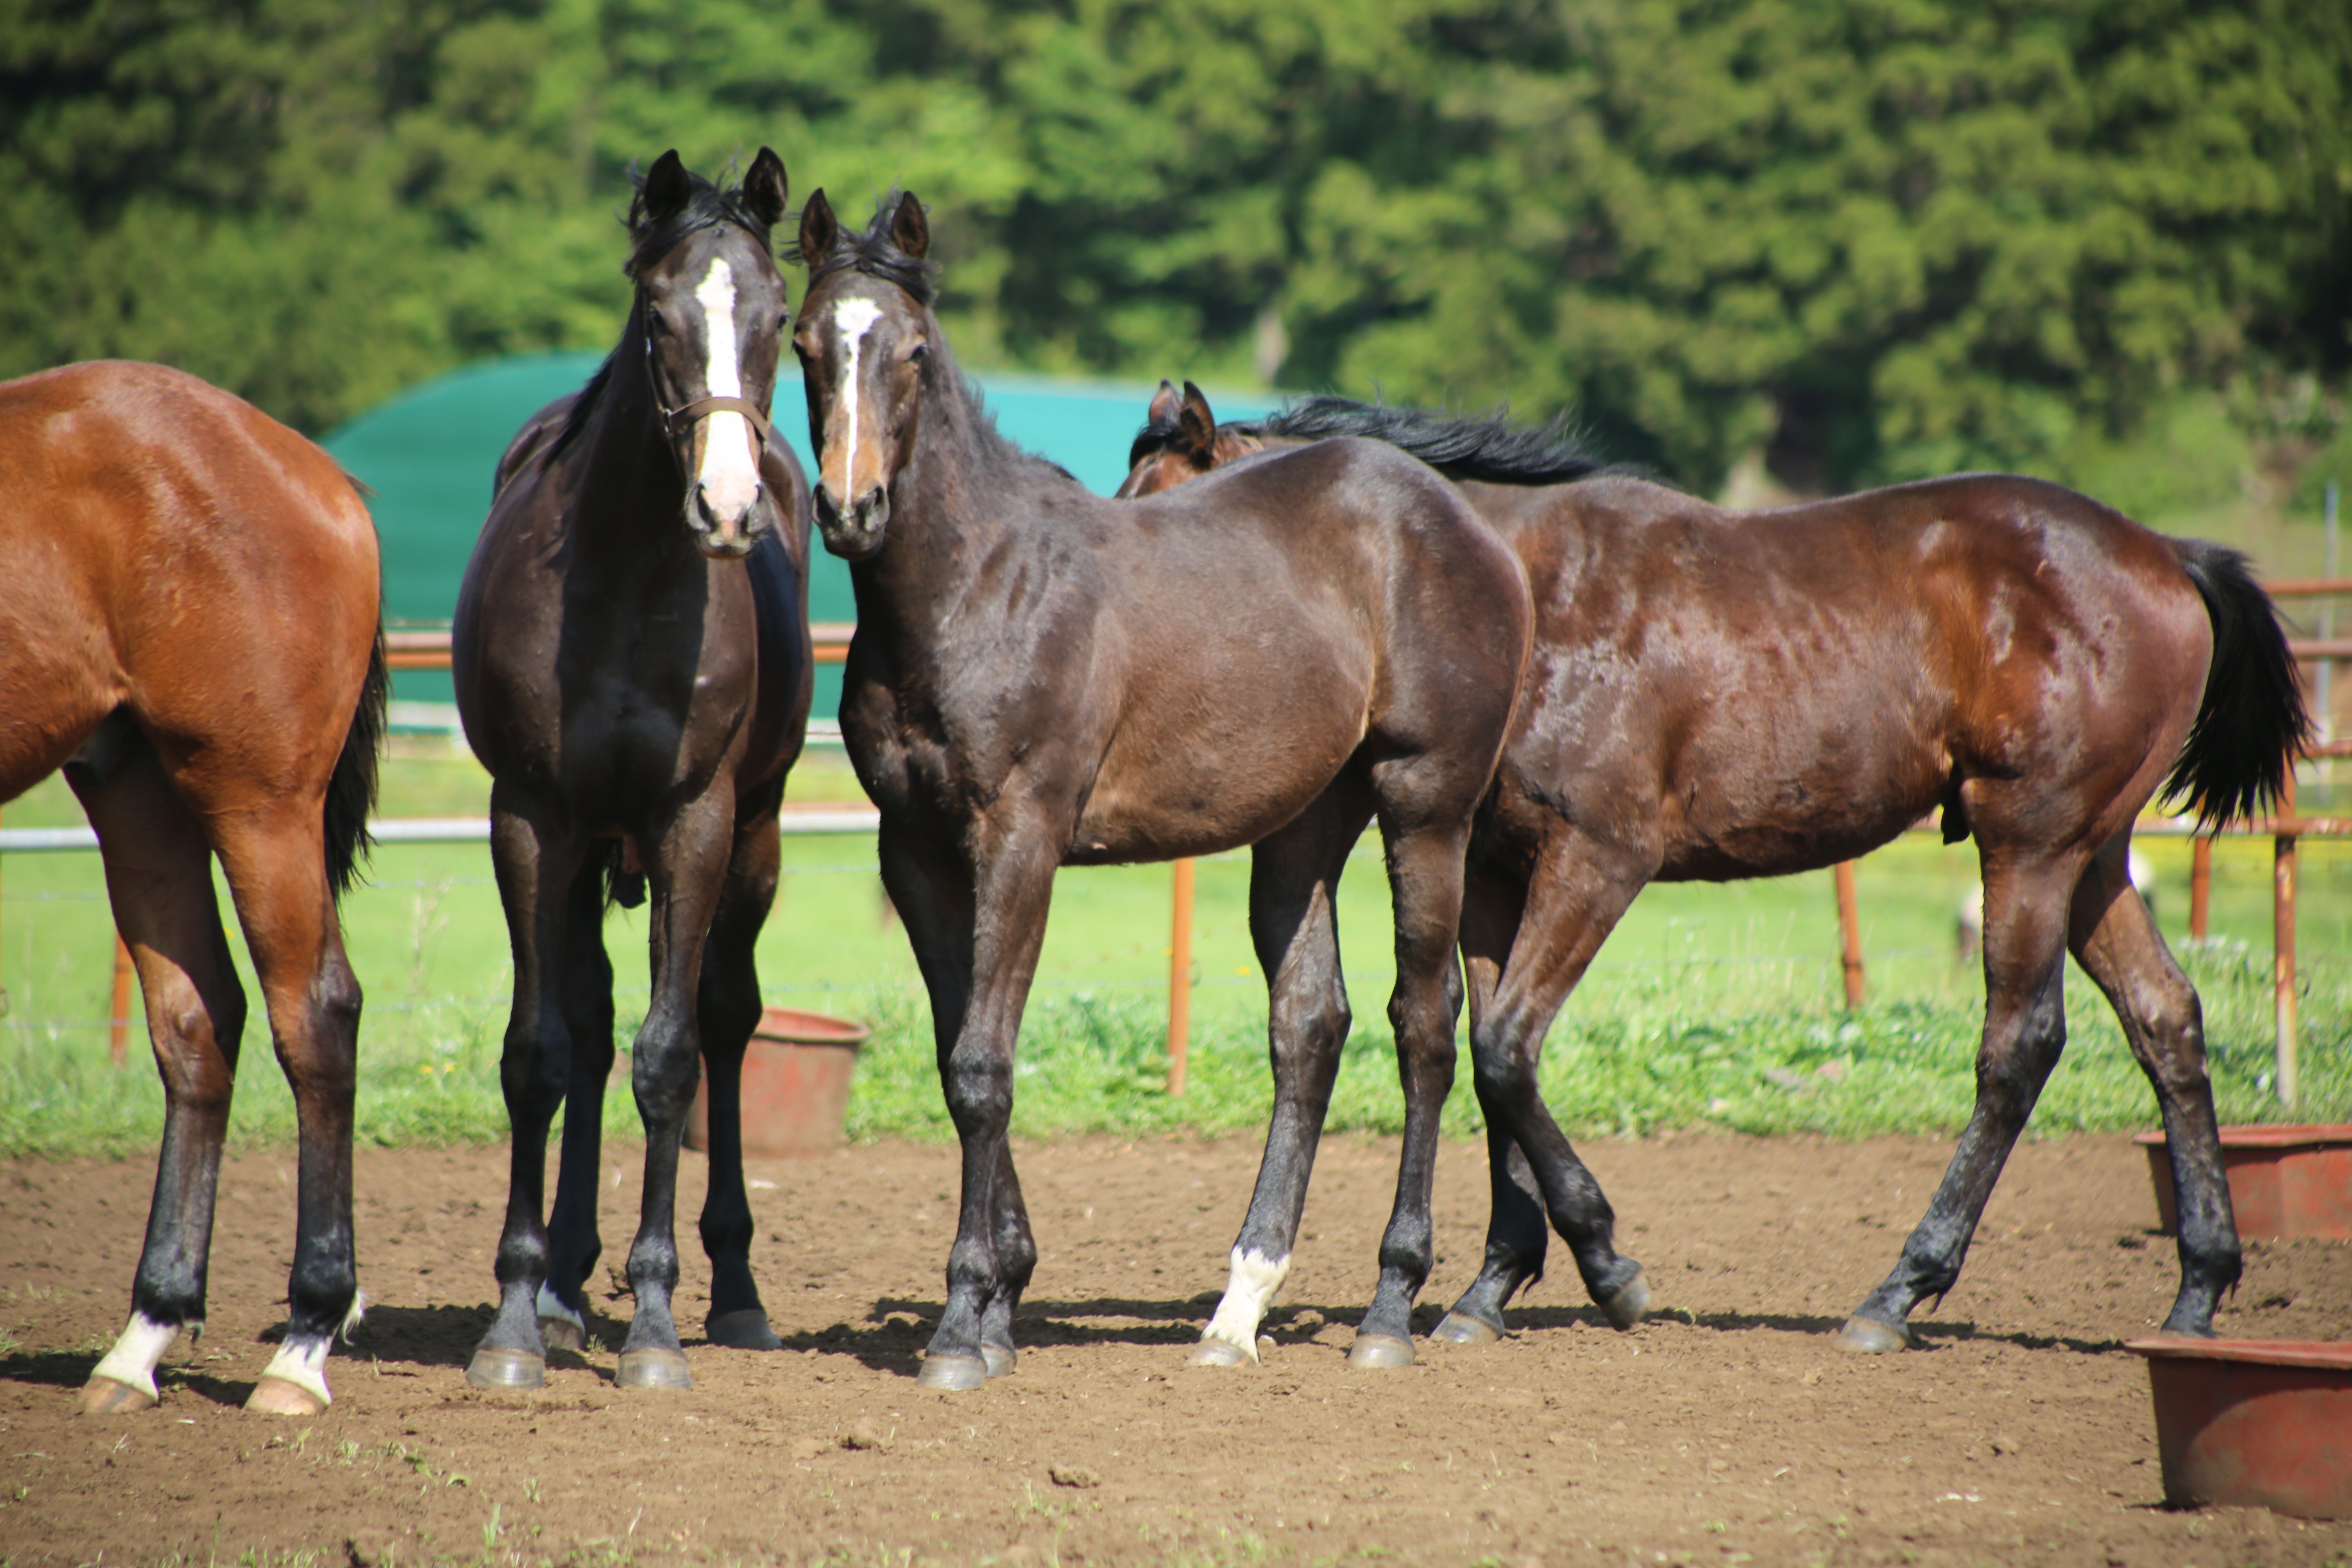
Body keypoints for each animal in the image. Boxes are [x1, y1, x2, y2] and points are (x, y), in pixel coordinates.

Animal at [0, 362, 385, 1420]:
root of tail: (319, 473)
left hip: (256, 798)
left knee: (314, 1011)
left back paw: (304, 1341)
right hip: (138, 789)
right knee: (196, 1019)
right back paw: (145, 1333)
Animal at [451, 150, 818, 1401]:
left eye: (779, 319)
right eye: (660, 318)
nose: (728, 507)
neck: (622, 579)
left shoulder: (692, 822)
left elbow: (671, 1059)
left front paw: (657, 1323)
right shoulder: (532, 819)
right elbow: (540, 1051)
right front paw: (516, 1317)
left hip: (753, 844)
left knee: (723, 1020)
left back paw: (737, 1288)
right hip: (580, 860)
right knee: (590, 1025)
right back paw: (565, 1283)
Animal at [781, 193, 1533, 1382]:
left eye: (911, 352)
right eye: (805, 346)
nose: (853, 508)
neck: (975, 586)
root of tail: (1467, 527)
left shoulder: (1021, 836)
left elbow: (984, 1063)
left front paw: (962, 1325)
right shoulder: (914, 851)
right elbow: (957, 1058)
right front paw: (998, 1305)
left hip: (1426, 806)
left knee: (1425, 1023)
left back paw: (1388, 1306)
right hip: (1305, 826)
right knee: (1309, 1025)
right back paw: (1237, 1309)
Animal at [1124, 385, 2314, 1354]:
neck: (1514, 588)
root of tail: (2163, 554)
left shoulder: (1600, 856)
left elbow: (1506, 1049)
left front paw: (1605, 1265)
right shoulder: (1501, 870)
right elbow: (1495, 1053)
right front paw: (1491, 1289)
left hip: (2030, 844)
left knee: (2017, 1046)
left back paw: (1896, 1294)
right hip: (2095, 858)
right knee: (2165, 1018)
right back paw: (2197, 1292)